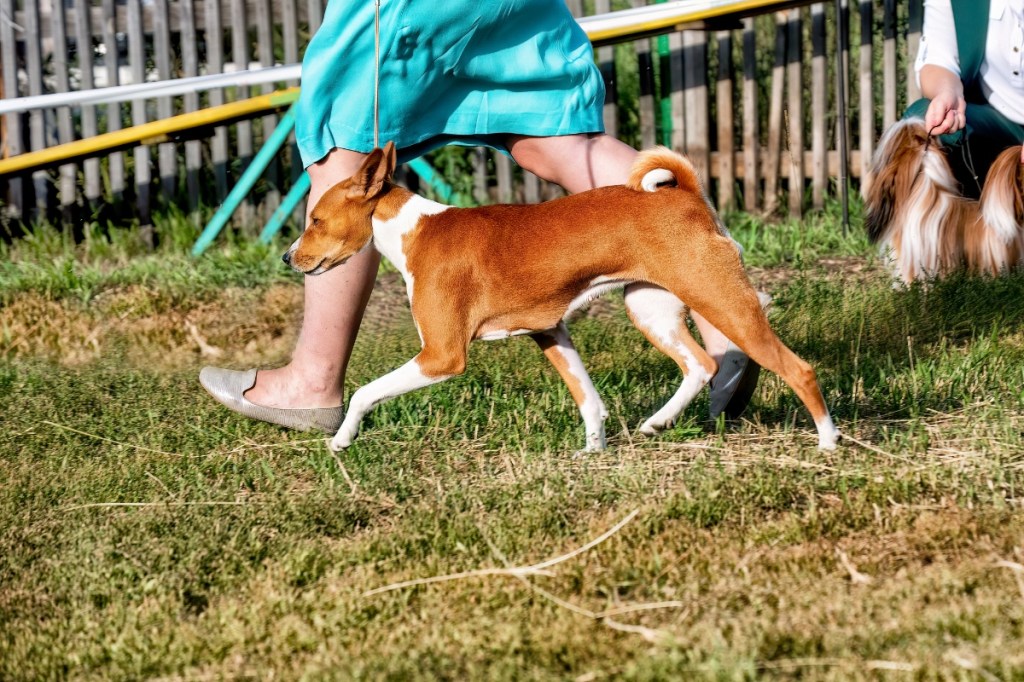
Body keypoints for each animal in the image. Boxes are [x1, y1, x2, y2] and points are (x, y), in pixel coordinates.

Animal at [282, 142, 839, 450]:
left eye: (316, 221)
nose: (288, 258)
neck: (414, 231)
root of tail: (686, 196)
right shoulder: (549, 330)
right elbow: (589, 400)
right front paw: (593, 453)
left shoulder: (441, 355)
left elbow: (364, 392)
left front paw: (341, 438)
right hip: (649, 308)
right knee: (700, 364)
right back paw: (659, 421)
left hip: (722, 302)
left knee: (798, 369)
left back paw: (829, 443)